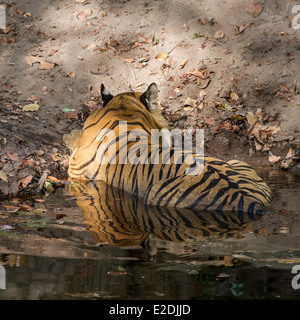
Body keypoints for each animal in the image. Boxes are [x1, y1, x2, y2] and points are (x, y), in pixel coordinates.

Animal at [63, 82, 274, 215]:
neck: (125, 111)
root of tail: (251, 201)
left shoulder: (75, 168)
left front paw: (70, 135)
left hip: (154, 193)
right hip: (238, 162)